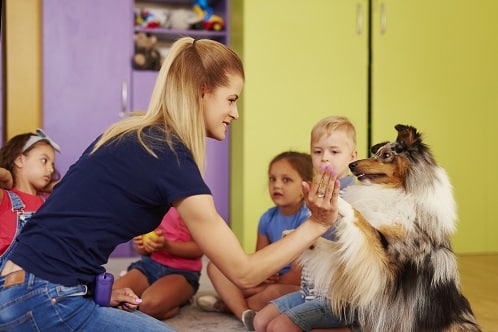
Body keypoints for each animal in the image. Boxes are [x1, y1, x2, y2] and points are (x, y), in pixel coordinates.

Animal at [302, 124, 480, 332]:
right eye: (376, 153)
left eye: (386, 155)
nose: (351, 165)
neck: (398, 191)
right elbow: (331, 247)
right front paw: (297, 236)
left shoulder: (386, 257)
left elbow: (358, 215)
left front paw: (335, 198)